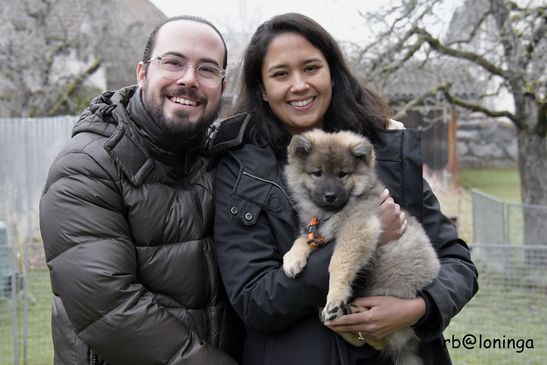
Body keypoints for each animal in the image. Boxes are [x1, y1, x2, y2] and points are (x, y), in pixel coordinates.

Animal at [282, 128, 440, 364]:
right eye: (317, 173)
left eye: (343, 174)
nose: (330, 196)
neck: (330, 213)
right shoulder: (318, 233)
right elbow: (302, 239)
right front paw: (292, 259)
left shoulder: (357, 229)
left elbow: (337, 264)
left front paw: (335, 296)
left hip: (392, 292)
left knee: (380, 337)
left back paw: (346, 310)